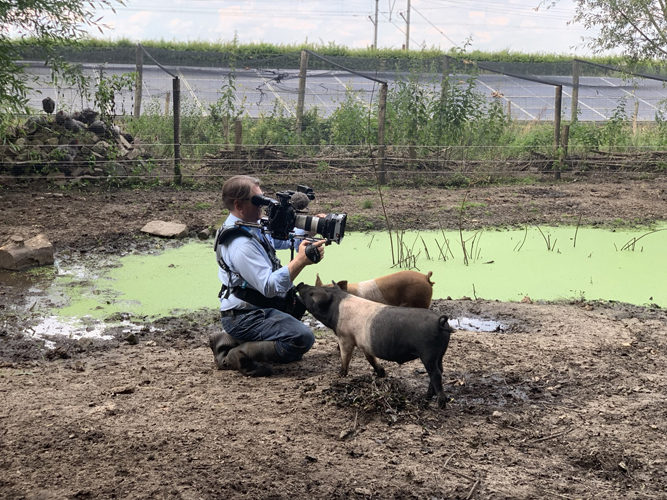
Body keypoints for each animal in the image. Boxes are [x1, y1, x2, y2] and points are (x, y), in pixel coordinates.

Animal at [298, 284, 454, 408]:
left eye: (311, 292)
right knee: (440, 370)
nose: (300, 284)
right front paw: (381, 374)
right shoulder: (364, 344)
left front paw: (340, 374)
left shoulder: (345, 337)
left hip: (428, 354)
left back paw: (440, 404)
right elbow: (371, 359)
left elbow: (345, 357)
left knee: (436, 374)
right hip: (439, 354)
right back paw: (427, 397)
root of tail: (440, 323)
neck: (336, 306)